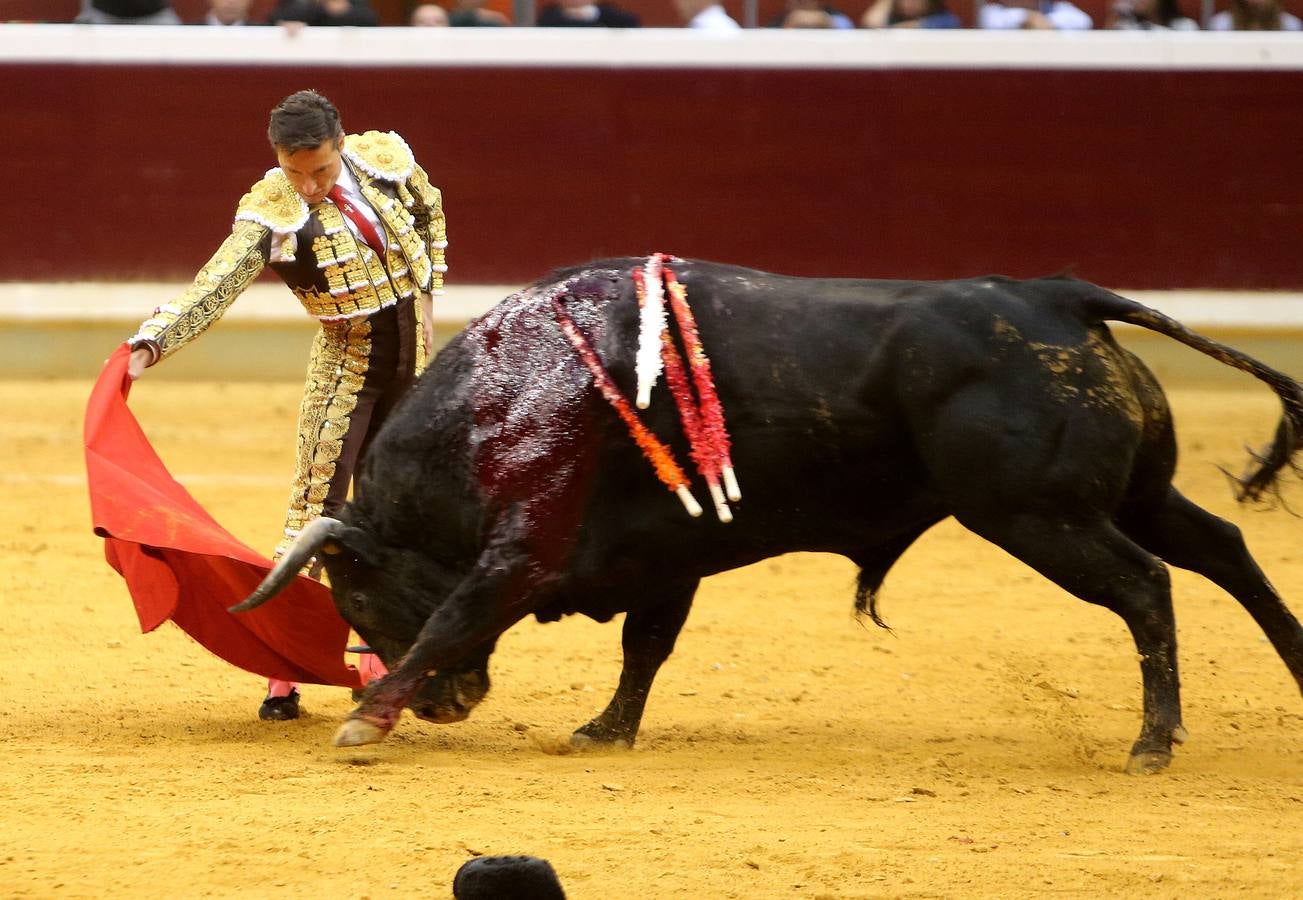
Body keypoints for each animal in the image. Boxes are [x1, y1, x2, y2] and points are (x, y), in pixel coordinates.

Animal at [237, 259, 1303, 776]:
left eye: (357, 601)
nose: (445, 707)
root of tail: (1059, 297)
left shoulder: (525, 548)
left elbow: (462, 611)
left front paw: (367, 718)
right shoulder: (661, 556)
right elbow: (646, 648)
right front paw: (604, 732)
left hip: (1037, 515)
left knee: (1147, 588)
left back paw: (1151, 743)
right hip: (1128, 496)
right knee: (1223, 550)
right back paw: (1294, 668)